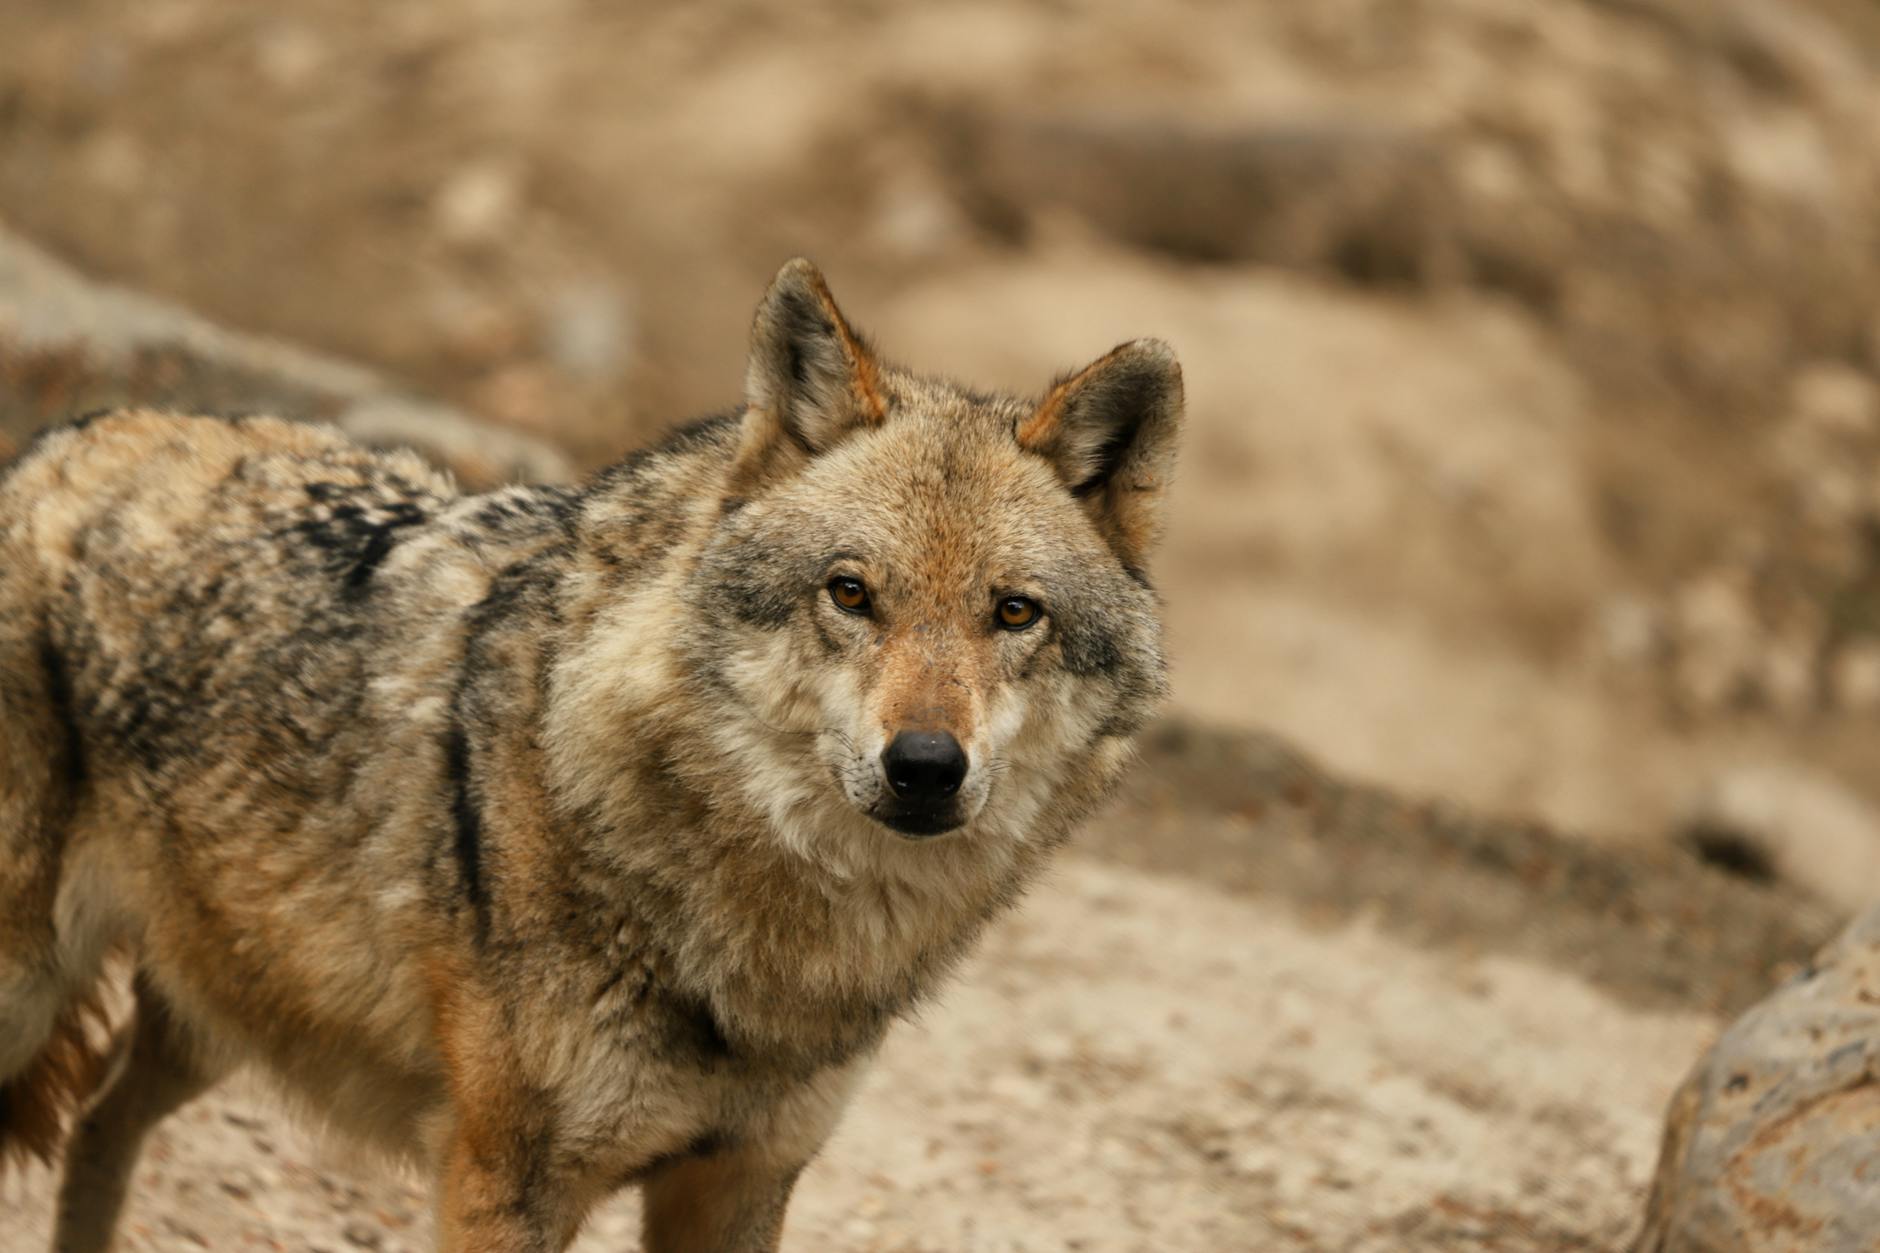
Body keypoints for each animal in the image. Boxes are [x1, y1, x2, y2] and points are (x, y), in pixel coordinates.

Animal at [0, 259, 1182, 1251]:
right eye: (850, 592)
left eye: (1014, 613)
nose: (926, 764)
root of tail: (60, 437)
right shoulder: (504, 1178)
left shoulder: (742, 1178)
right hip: (38, 999)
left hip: (220, 1014)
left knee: (98, 1116)